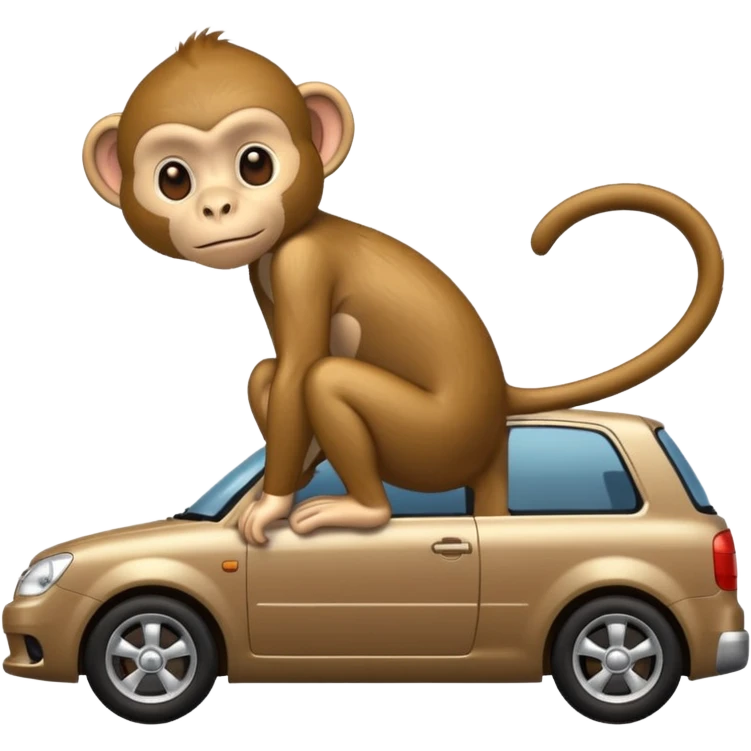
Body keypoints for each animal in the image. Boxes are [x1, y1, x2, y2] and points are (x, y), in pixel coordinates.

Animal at [81, 28, 726, 546]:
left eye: (255, 163)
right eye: (174, 178)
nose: (217, 208)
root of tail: (498, 400)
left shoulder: (301, 262)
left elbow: (299, 374)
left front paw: (270, 506)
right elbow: (280, 374)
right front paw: (282, 481)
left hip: (437, 439)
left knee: (327, 379)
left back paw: (366, 511)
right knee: (270, 372)